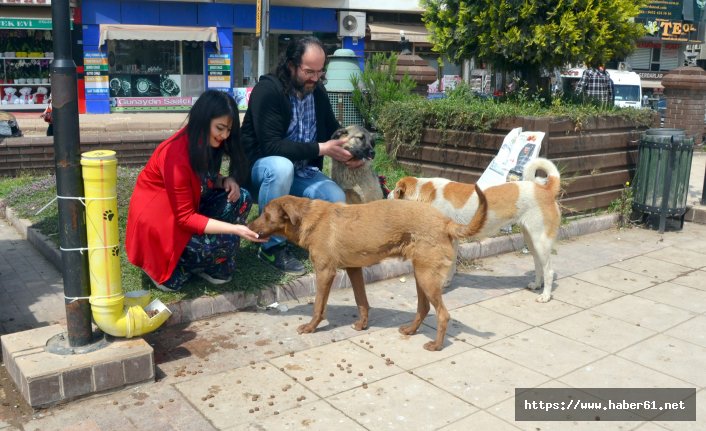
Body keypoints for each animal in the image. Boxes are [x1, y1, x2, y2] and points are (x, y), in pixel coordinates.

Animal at [246, 189, 484, 352]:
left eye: (266, 214)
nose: (247, 227)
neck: (308, 218)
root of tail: (446, 221)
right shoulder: (354, 269)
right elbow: (362, 301)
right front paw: (362, 325)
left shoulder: (325, 272)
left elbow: (318, 306)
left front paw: (311, 327)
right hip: (422, 275)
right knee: (424, 308)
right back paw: (410, 330)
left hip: (426, 277)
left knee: (443, 314)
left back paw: (436, 345)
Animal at [388, 159, 560, 304]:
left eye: (395, 190)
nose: (387, 195)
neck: (424, 193)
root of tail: (545, 189)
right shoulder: (454, 240)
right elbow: (451, 265)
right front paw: (447, 282)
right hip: (531, 240)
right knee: (539, 265)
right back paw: (537, 285)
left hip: (541, 241)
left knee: (549, 270)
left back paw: (545, 296)